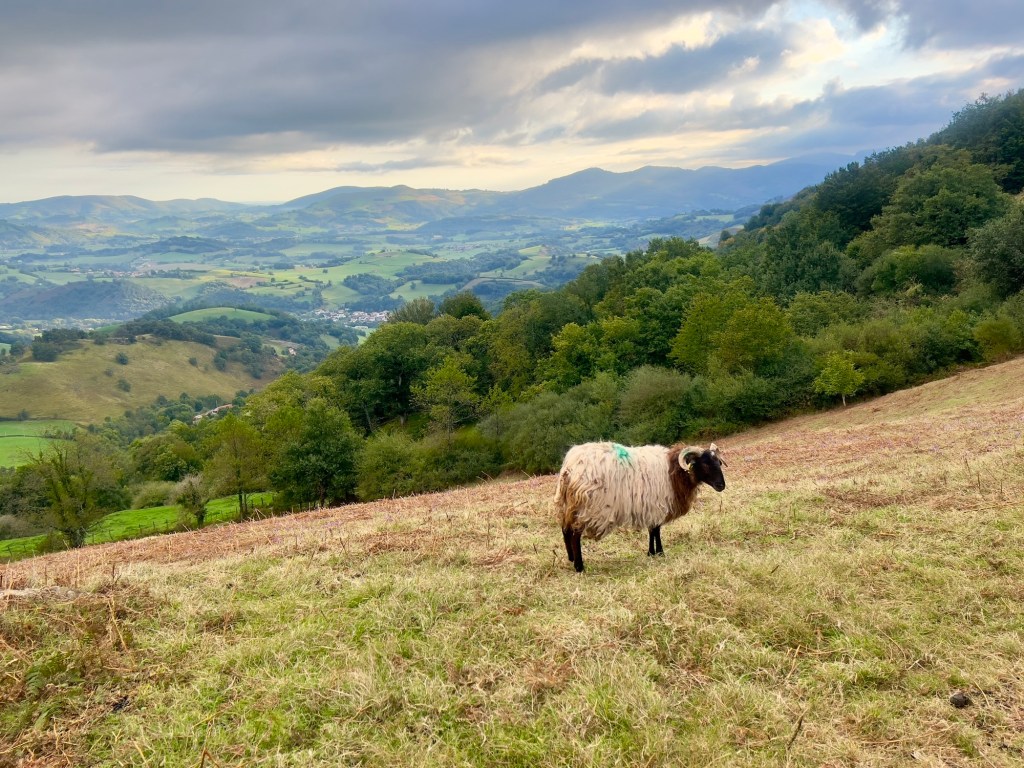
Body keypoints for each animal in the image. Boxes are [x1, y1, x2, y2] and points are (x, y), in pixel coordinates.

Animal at [555, 441, 726, 572]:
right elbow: (656, 530)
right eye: (705, 464)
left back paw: (571, 559)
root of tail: (569, 467)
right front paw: (659, 552)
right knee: (575, 535)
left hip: (569, 505)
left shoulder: (652, 506)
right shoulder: (657, 504)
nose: (721, 486)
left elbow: (652, 530)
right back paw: (579, 567)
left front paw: (652, 553)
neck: (674, 471)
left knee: (565, 531)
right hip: (588, 508)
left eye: (719, 463)